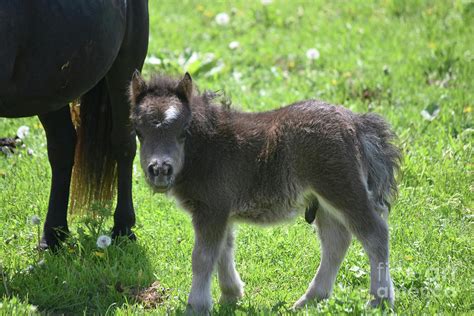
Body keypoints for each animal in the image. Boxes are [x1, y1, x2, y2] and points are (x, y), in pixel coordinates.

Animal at [0, 0, 149, 249]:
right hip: (53, 88)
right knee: (63, 147)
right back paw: (53, 237)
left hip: (125, 67)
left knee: (123, 144)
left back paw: (123, 228)